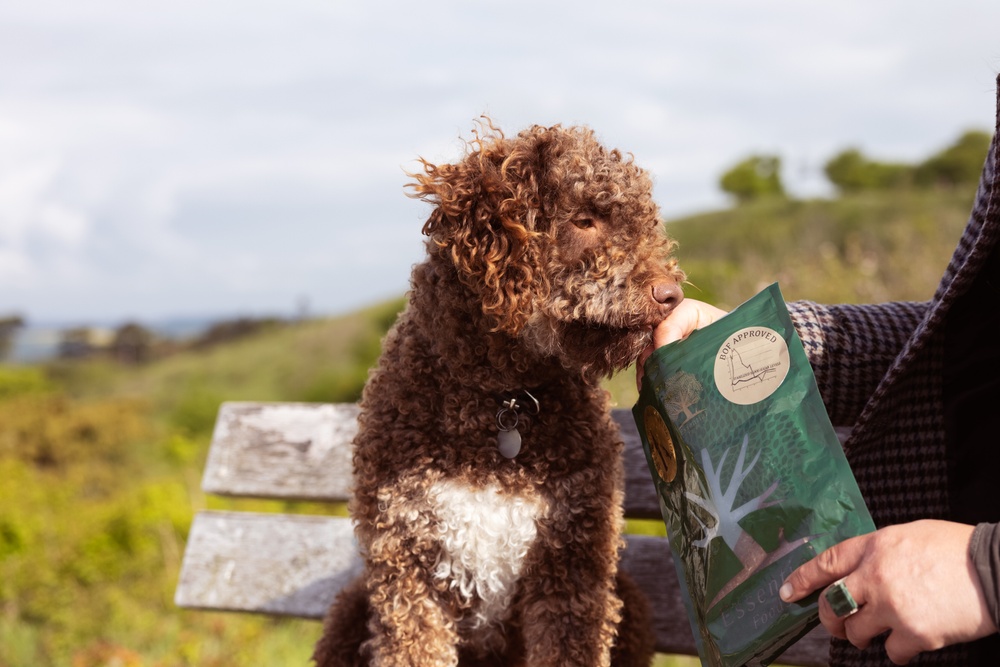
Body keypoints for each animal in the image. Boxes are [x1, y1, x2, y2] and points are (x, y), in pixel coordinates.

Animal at [316, 121, 684, 667]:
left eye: (644, 222)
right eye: (584, 219)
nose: (671, 295)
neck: (501, 400)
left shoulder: (573, 563)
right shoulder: (406, 564)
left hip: (631, 601)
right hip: (349, 610)